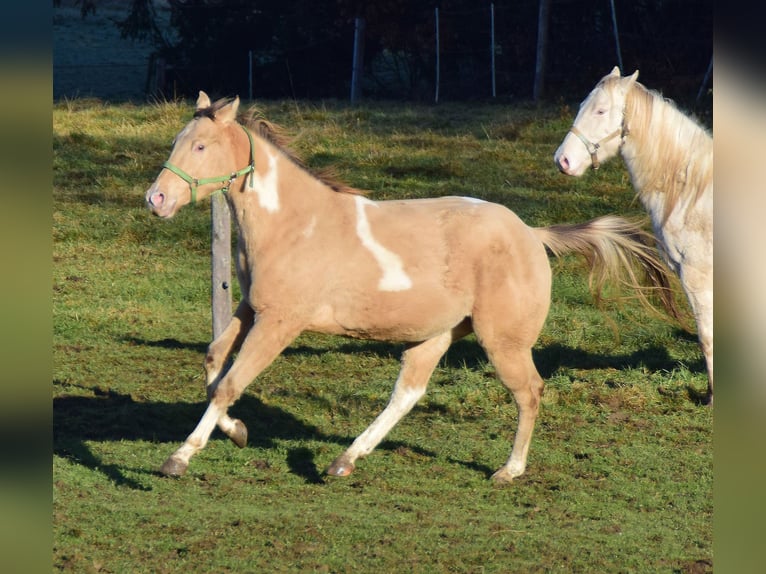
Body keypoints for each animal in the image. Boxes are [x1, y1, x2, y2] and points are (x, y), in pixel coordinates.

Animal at [144, 92, 680, 484]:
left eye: (199, 146)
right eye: (177, 140)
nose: (156, 199)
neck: (293, 224)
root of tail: (532, 234)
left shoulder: (280, 321)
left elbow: (231, 382)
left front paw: (180, 457)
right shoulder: (253, 308)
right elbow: (214, 361)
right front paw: (237, 431)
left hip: (502, 341)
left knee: (529, 391)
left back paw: (509, 470)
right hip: (437, 334)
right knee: (409, 391)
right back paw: (344, 460)